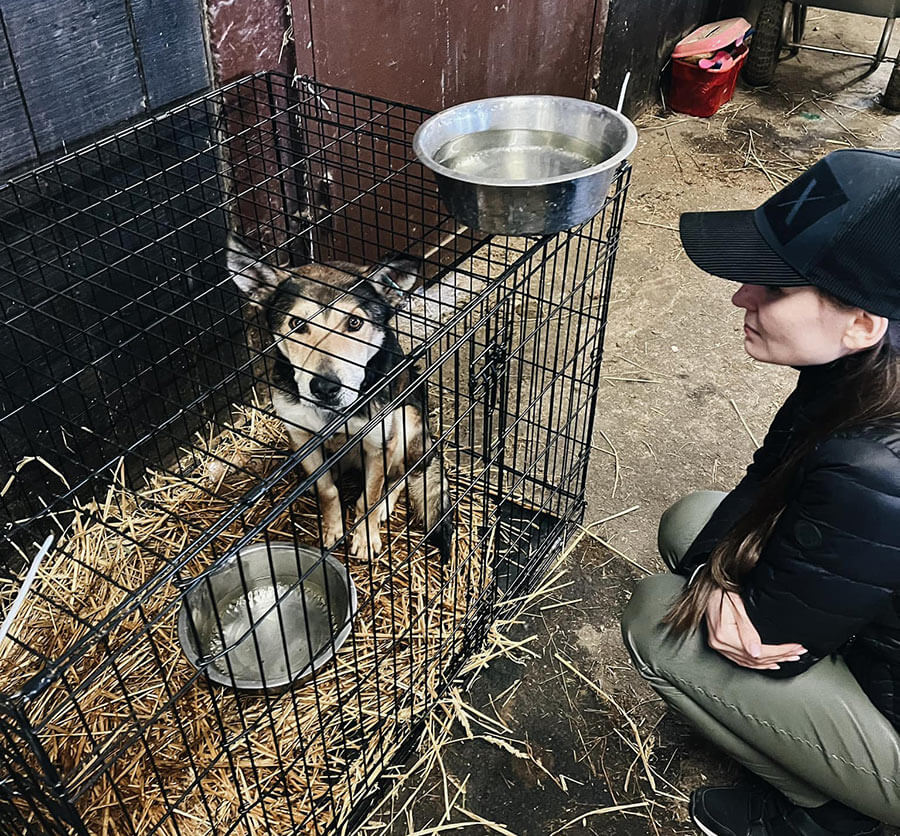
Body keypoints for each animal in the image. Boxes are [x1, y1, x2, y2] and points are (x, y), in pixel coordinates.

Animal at [225, 235, 450, 560]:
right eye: (296, 324)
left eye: (354, 323)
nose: (324, 387)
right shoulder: (302, 437)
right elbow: (327, 490)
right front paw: (332, 529)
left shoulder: (379, 442)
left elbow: (369, 497)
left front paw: (365, 537)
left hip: (408, 422)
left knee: (401, 476)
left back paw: (386, 505)